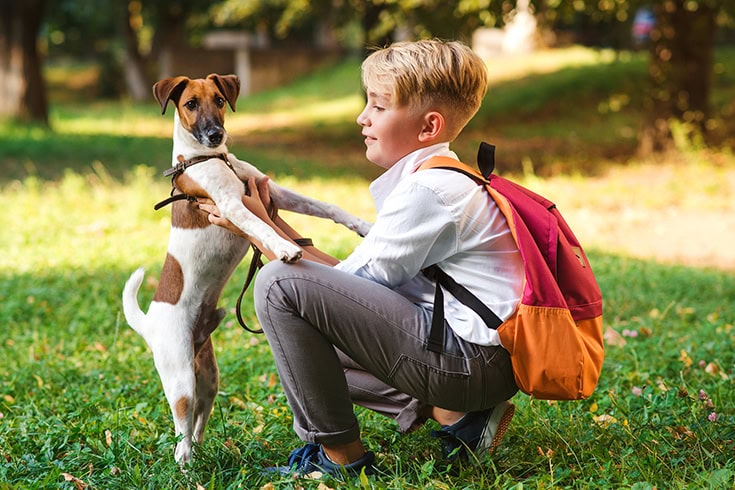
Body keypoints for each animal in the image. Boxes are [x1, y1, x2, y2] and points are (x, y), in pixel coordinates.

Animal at [124, 72, 374, 464]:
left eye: (219, 100)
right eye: (190, 104)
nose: (216, 134)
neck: (209, 158)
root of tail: (149, 323)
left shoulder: (272, 191)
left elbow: (325, 206)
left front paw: (363, 226)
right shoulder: (230, 206)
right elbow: (262, 228)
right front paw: (286, 248)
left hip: (207, 378)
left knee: (198, 423)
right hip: (180, 380)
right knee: (181, 437)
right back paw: (187, 466)